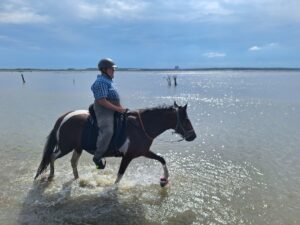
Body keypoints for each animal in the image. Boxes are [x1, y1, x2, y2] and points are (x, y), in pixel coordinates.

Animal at [34, 102, 197, 186]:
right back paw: (51, 176)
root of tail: (63, 118)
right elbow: (119, 176)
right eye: (186, 120)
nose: (193, 136)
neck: (142, 127)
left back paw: (77, 178)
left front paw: (165, 179)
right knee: (52, 157)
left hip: (77, 147)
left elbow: (161, 158)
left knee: (73, 162)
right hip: (65, 147)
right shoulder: (129, 156)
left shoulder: (143, 151)